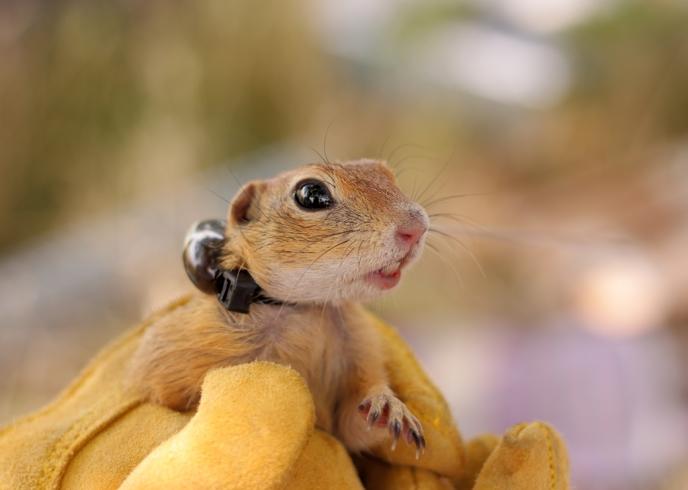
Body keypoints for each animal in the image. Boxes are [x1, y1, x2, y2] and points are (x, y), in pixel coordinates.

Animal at [128, 160, 428, 456]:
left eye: (385, 173)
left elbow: (352, 426)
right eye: (311, 194)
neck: (305, 310)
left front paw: (389, 407)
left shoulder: (358, 344)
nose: (417, 226)